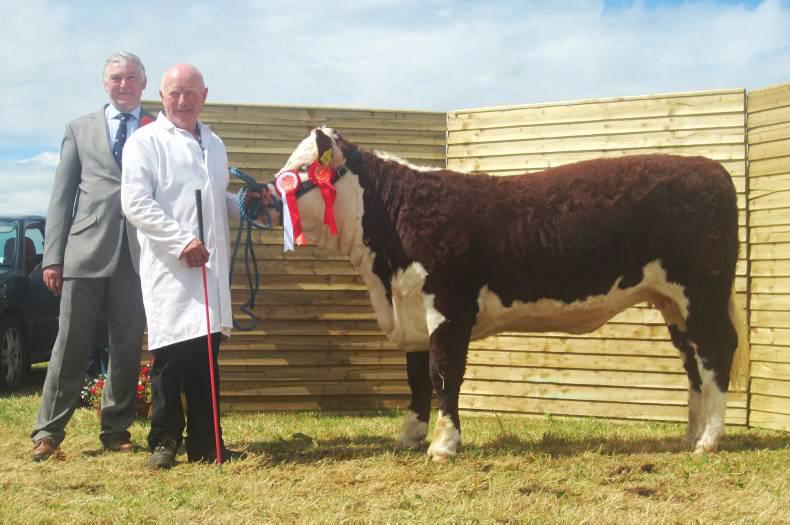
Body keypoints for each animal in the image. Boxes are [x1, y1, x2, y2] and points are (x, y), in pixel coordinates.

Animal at [271, 127, 748, 461]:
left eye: (299, 171)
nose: (268, 195)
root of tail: (710, 168)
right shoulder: (413, 308)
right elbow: (416, 377)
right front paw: (410, 436)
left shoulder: (449, 305)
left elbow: (444, 374)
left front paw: (443, 445)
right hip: (673, 302)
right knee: (693, 361)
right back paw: (689, 435)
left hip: (702, 291)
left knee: (716, 352)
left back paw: (708, 440)